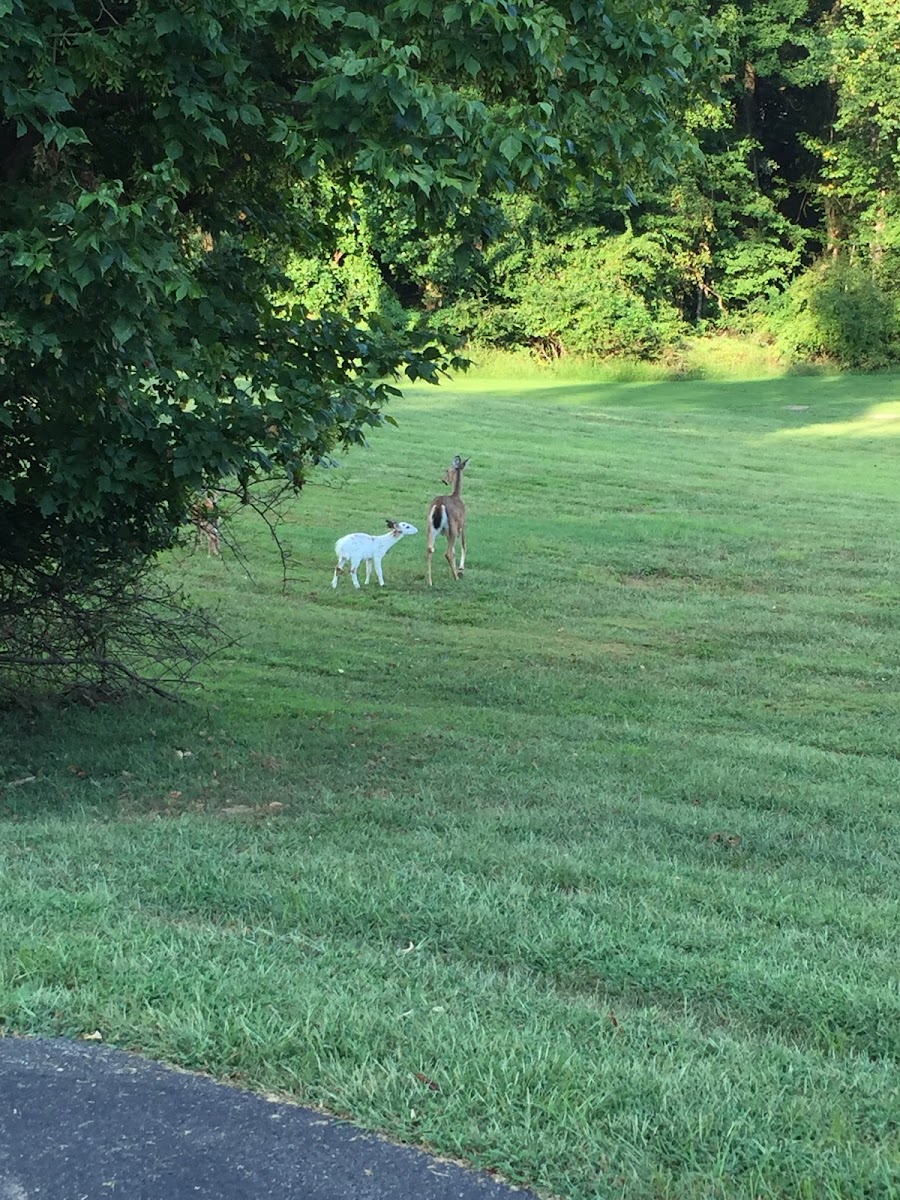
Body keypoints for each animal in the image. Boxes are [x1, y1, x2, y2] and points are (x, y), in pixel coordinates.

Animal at [427, 453, 472, 585]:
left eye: (447, 470)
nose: (444, 480)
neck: (457, 495)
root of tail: (438, 505)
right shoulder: (462, 525)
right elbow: (463, 545)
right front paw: (460, 570)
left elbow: (454, 550)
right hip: (453, 527)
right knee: (447, 553)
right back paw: (456, 577)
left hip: (430, 526)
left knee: (430, 549)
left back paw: (429, 581)